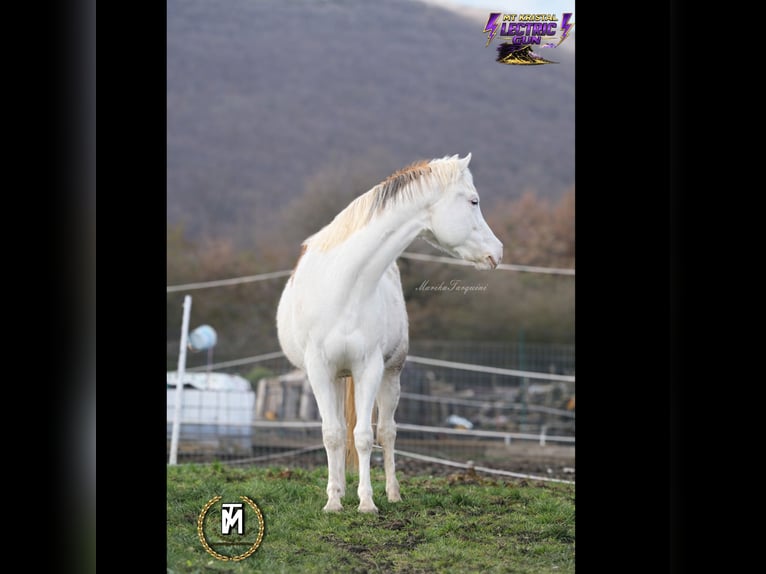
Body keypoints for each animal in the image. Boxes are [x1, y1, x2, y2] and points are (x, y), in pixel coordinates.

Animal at [276, 153, 503, 513]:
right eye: (473, 200)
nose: (498, 251)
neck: (345, 287)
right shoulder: (319, 371)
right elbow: (333, 435)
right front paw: (333, 503)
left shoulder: (369, 368)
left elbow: (366, 437)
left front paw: (367, 502)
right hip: (337, 378)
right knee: (341, 431)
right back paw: (339, 490)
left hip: (391, 374)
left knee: (387, 431)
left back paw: (392, 492)